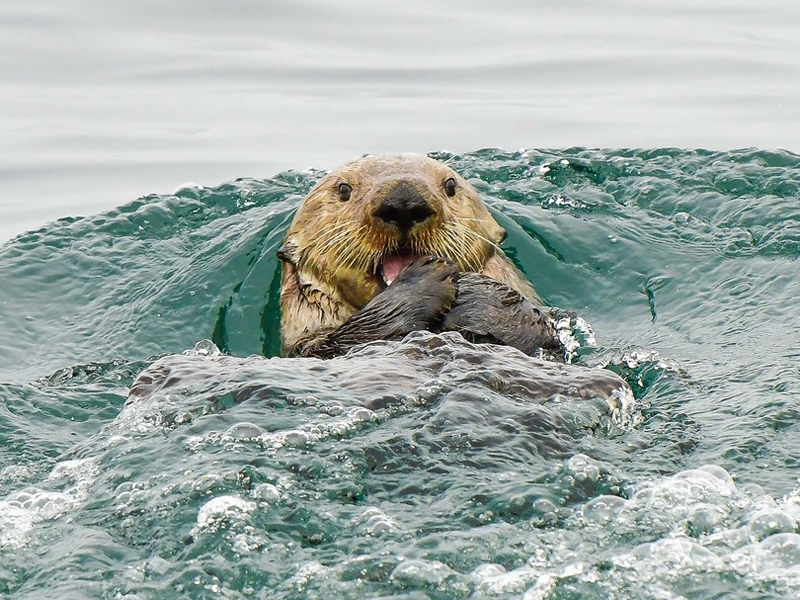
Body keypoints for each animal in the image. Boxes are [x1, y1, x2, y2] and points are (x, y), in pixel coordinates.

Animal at [280, 155, 564, 360]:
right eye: (343, 189)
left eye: (450, 185)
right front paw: (421, 284)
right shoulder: (308, 344)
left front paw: (479, 293)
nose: (403, 201)